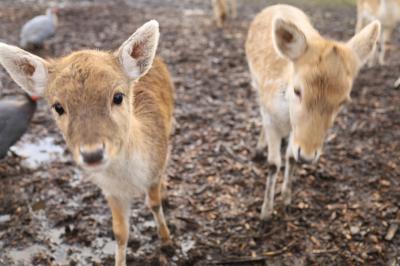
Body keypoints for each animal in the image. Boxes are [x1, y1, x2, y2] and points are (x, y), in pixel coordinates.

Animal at [0, 20, 175, 266]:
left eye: (118, 96)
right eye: (58, 106)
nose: (92, 154)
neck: (130, 180)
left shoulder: (154, 168)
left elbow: (154, 204)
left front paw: (167, 242)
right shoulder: (110, 190)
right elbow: (120, 232)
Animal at [245, 5, 380, 223]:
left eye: (343, 101)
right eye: (297, 90)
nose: (308, 156)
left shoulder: (295, 129)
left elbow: (291, 157)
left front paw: (287, 200)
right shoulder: (270, 116)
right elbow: (273, 163)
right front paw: (265, 213)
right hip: (255, 82)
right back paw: (259, 148)